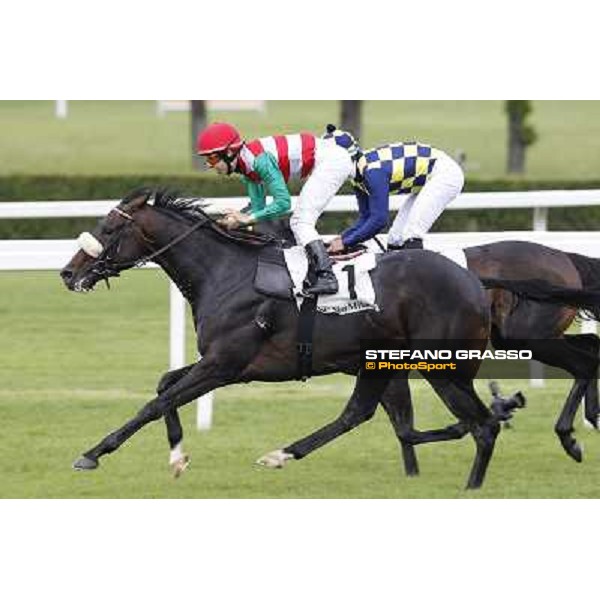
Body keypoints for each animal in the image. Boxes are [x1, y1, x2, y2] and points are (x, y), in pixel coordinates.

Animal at [61, 190, 504, 490]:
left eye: (110, 228)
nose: (67, 272)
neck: (225, 273)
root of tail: (473, 282)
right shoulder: (219, 361)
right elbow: (164, 384)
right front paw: (177, 456)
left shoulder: (223, 365)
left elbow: (155, 403)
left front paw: (92, 454)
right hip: (379, 361)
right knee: (361, 415)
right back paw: (282, 454)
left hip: (442, 366)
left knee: (482, 426)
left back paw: (472, 486)